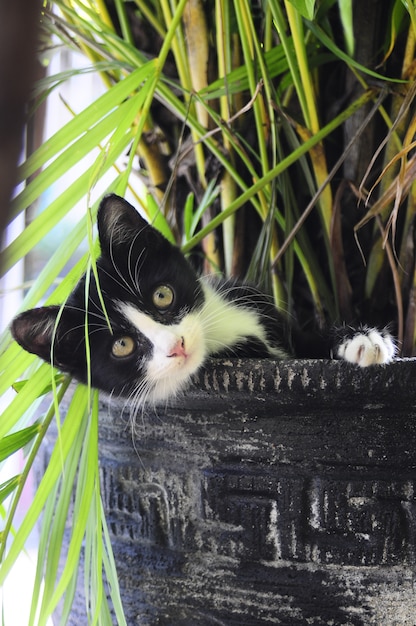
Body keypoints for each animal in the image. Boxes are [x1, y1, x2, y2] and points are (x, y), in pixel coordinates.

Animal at [11, 193, 396, 402]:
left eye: (162, 295)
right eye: (121, 345)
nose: (176, 345)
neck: (218, 333)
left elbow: (305, 341)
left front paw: (362, 340)